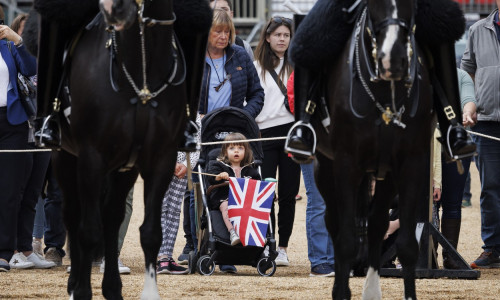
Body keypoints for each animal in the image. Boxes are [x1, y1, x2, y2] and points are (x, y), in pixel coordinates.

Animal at [47, 0, 191, 298]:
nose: (117, 10)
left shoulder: (161, 159)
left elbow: (151, 232)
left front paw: (149, 292)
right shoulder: (91, 158)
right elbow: (88, 231)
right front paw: (82, 291)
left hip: (123, 168)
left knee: (112, 218)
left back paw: (112, 287)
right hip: (66, 159)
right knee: (73, 216)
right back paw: (75, 284)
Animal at [316, 1, 434, 298]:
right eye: (373, 4)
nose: (392, 60)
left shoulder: (410, 164)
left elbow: (407, 245)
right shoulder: (346, 163)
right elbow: (345, 240)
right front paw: (341, 292)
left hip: (385, 174)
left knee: (376, 222)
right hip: (326, 167)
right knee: (335, 223)